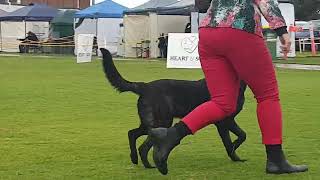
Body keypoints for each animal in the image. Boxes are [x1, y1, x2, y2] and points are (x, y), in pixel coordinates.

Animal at [100, 48, 248, 169]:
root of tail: (145, 86)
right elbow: (233, 140)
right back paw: (149, 165)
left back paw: (136, 159)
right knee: (143, 144)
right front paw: (235, 152)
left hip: (151, 122)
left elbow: (241, 135)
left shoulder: (228, 121)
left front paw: (236, 154)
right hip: (162, 121)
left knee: (132, 133)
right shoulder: (223, 122)